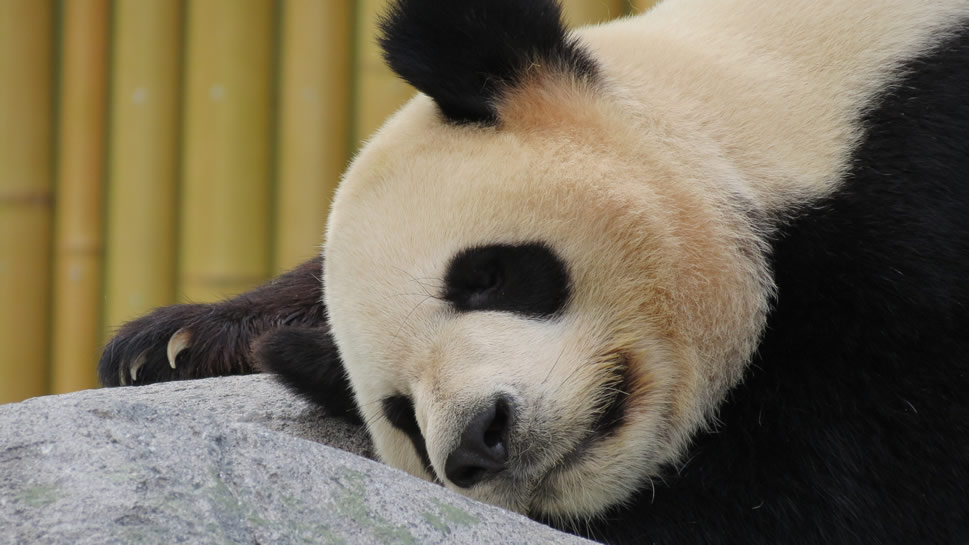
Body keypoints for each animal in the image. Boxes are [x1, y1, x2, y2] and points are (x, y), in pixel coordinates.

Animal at [100, 0, 968, 540]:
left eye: (486, 273)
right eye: (400, 412)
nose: (481, 440)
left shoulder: (910, 196)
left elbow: (848, 491)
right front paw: (175, 341)